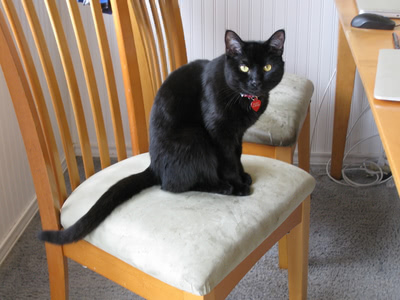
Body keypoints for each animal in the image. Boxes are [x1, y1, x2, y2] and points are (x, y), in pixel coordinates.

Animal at [39, 28, 286, 244]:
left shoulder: (237, 134)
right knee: (173, 184)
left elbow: (237, 155)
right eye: (244, 67)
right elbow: (228, 161)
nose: (255, 82)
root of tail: (153, 166)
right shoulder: (219, 132)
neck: (243, 99)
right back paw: (223, 187)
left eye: (267, 67)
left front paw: (243, 175)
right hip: (195, 136)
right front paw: (238, 183)